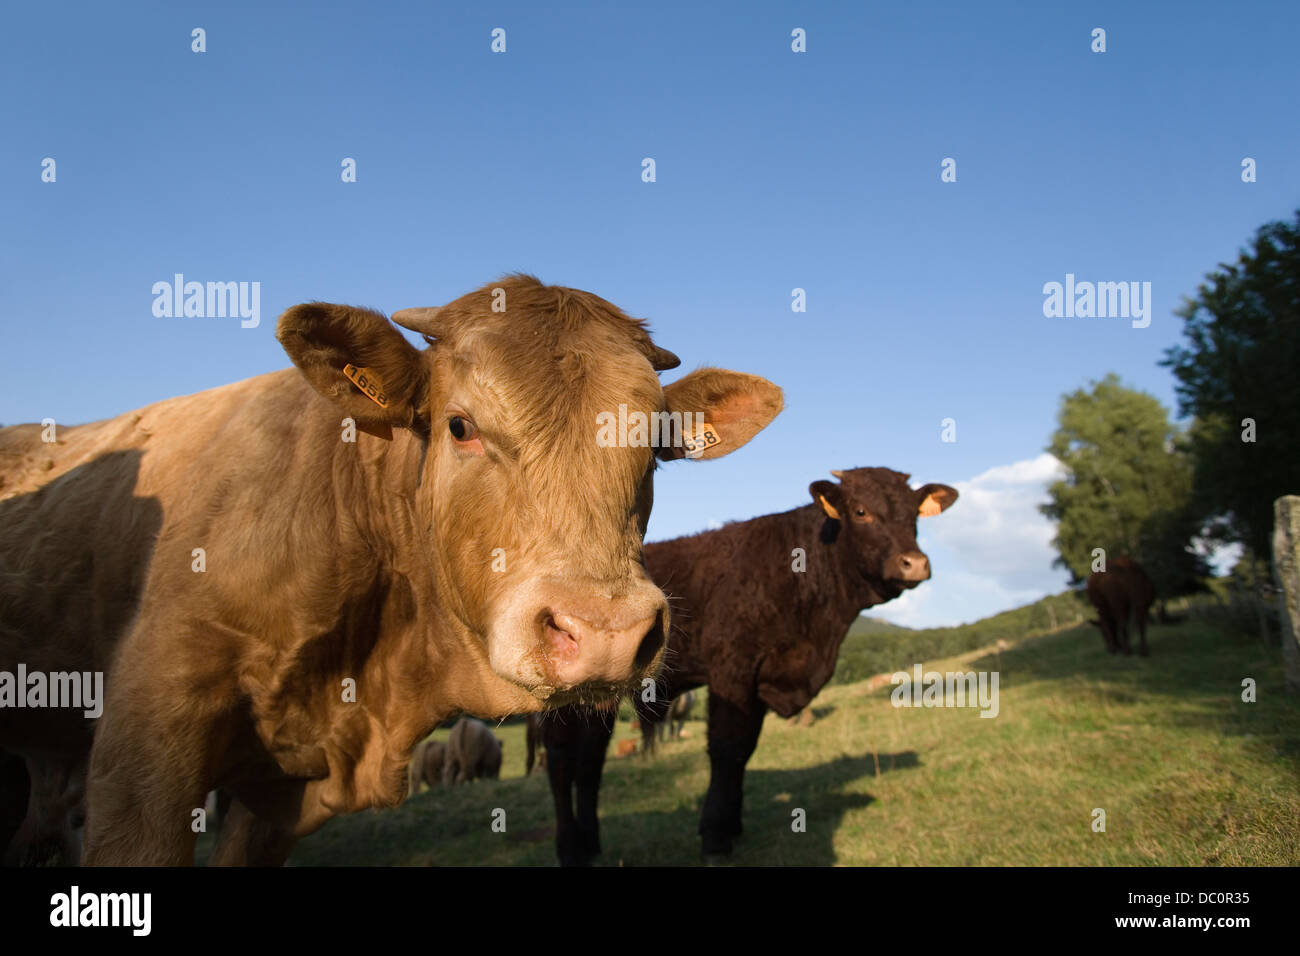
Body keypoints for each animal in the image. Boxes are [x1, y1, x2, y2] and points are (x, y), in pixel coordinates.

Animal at [538, 468, 956, 863]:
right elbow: (727, 746)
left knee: (590, 761)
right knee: (560, 760)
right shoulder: (732, 669)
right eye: (861, 511)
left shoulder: (761, 678)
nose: (914, 564)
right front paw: (715, 837)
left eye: (914, 513)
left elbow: (746, 749)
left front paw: (733, 825)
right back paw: (569, 848)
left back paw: (591, 843)